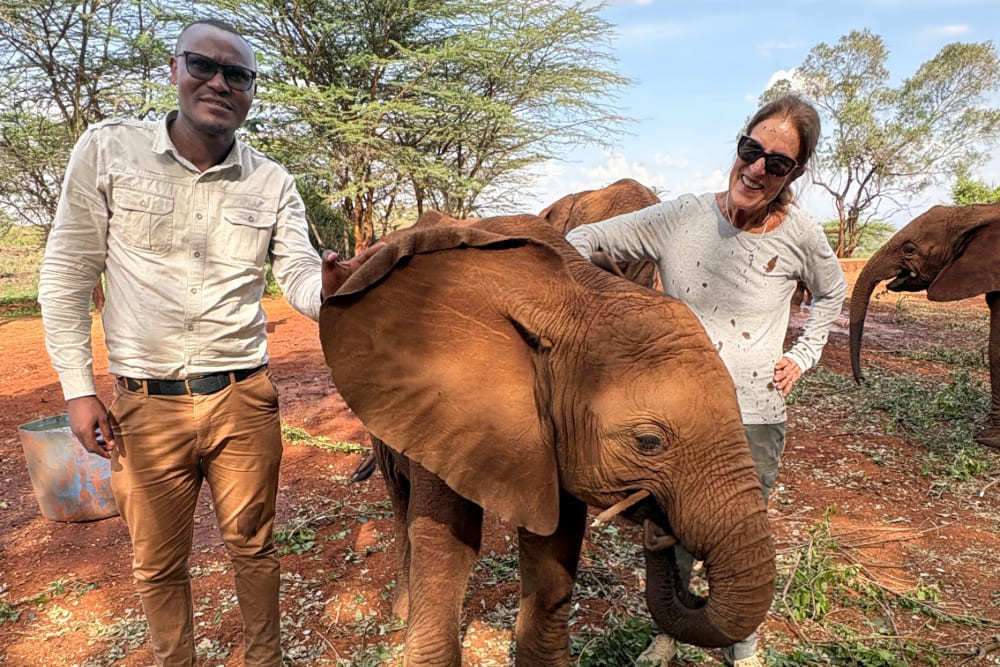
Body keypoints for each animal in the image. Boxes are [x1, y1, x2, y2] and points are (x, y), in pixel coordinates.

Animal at [320, 217, 772, 664]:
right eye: (648, 442)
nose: (658, 527)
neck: (575, 293)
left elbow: (555, 545)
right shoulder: (439, 407)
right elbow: (449, 540)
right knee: (400, 496)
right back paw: (400, 612)